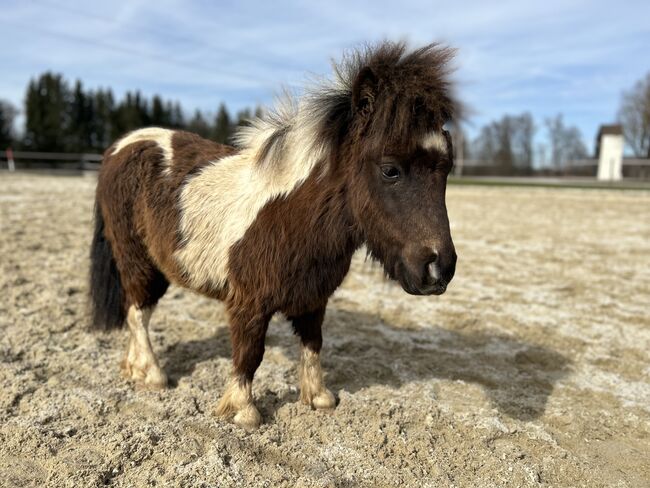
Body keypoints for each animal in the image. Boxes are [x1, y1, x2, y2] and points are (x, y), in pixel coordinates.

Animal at [90, 43, 456, 428]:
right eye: (390, 170)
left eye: (447, 168)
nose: (438, 268)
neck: (289, 215)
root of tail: (120, 147)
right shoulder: (247, 302)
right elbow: (250, 352)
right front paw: (243, 410)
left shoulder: (313, 297)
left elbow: (313, 344)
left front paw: (318, 398)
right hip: (137, 261)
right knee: (138, 312)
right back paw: (153, 375)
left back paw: (134, 369)